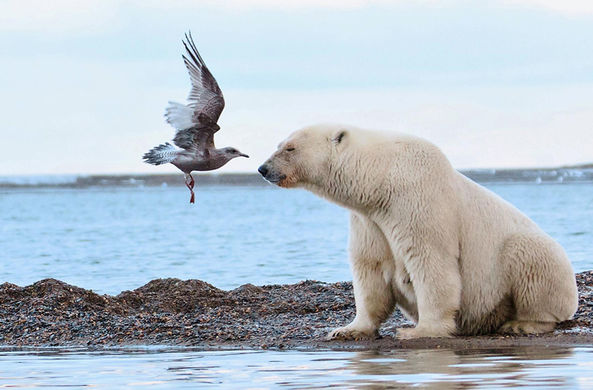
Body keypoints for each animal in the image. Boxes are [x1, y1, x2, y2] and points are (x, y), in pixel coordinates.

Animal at [256, 124, 576, 338]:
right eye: (279, 143)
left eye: (290, 148)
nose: (263, 168)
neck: (381, 181)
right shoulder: (369, 220)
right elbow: (370, 269)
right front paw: (346, 329)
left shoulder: (417, 200)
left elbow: (430, 262)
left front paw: (419, 331)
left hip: (534, 258)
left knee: (529, 259)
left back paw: (522, 323)